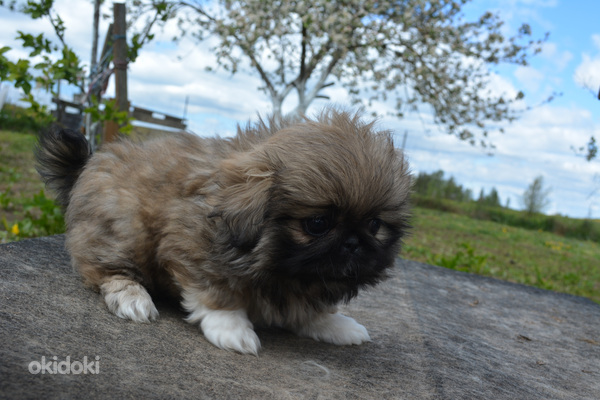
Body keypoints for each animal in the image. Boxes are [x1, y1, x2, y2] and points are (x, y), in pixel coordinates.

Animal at [36, 108, 412, 354]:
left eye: (374, 225)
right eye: (317, 224)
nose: (353, 243)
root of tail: (88, 165)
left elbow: (309, 308)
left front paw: (333, 324)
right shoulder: (190, 243)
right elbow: (217, 290)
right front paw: (231, 327)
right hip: (124, 229)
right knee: (106, 269)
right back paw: (132, 297)